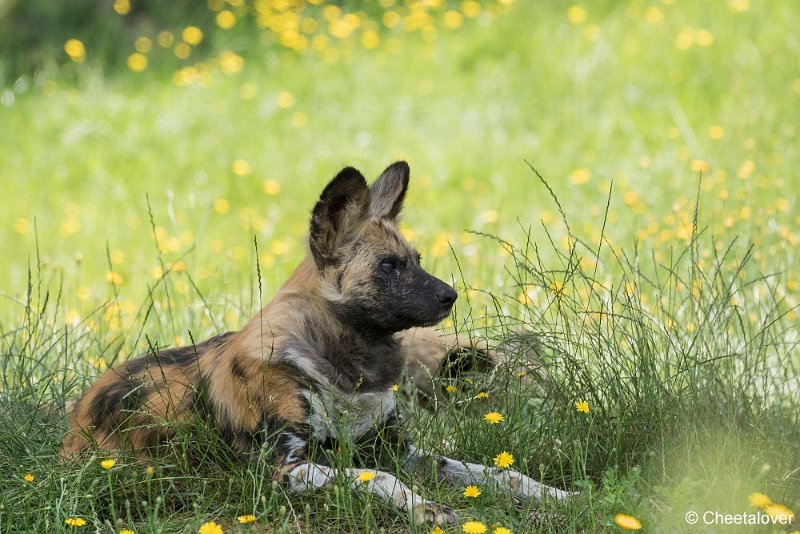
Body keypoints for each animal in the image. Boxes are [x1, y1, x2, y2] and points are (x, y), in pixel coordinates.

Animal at [62, 162, 576, 524]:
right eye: (389, 266)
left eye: (416, 260)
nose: (450, 295)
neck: (345, 370)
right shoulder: (288, 470)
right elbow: (383, 480)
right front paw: (425, 509)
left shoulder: (396, 449)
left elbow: (502, 473)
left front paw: (560, 495)